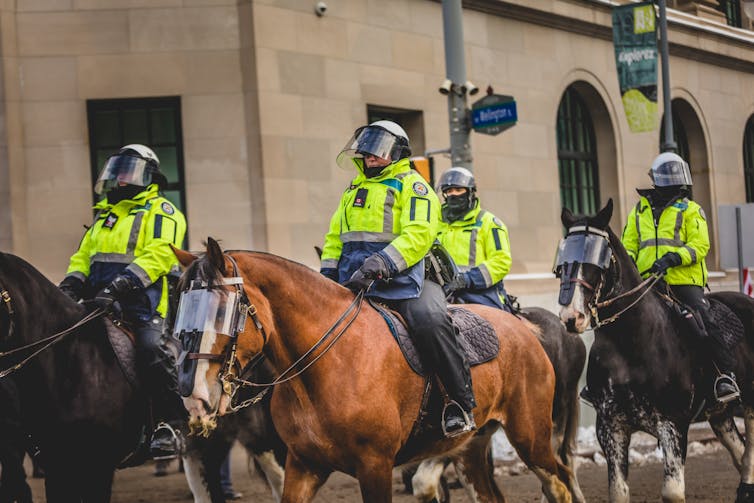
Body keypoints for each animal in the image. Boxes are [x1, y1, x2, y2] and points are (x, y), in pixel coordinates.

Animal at [170, 239, 568, 503]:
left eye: (221, 311)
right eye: (180, 306)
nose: (192, 395)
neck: (325, 368)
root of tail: (522, 326)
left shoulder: (375, 466)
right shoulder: (303, 465)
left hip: (530, 437)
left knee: (559, 485)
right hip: (471, 447)